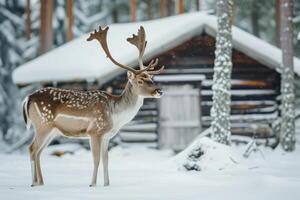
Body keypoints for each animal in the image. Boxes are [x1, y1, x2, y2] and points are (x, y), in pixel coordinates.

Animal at [23, 25, 164, 187]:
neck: (115, 116)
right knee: (32, 148)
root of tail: (28, 98)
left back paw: (41, 182)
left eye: (151, 78)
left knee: (39, 151)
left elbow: (106, 159)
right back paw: (34, 182)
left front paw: (107, 184)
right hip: (42, 124)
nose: (159, 90)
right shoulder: (95, 131)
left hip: (51, 130)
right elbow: (96, 159)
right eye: (140, 81)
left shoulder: (107, 136)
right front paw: (92, 184)